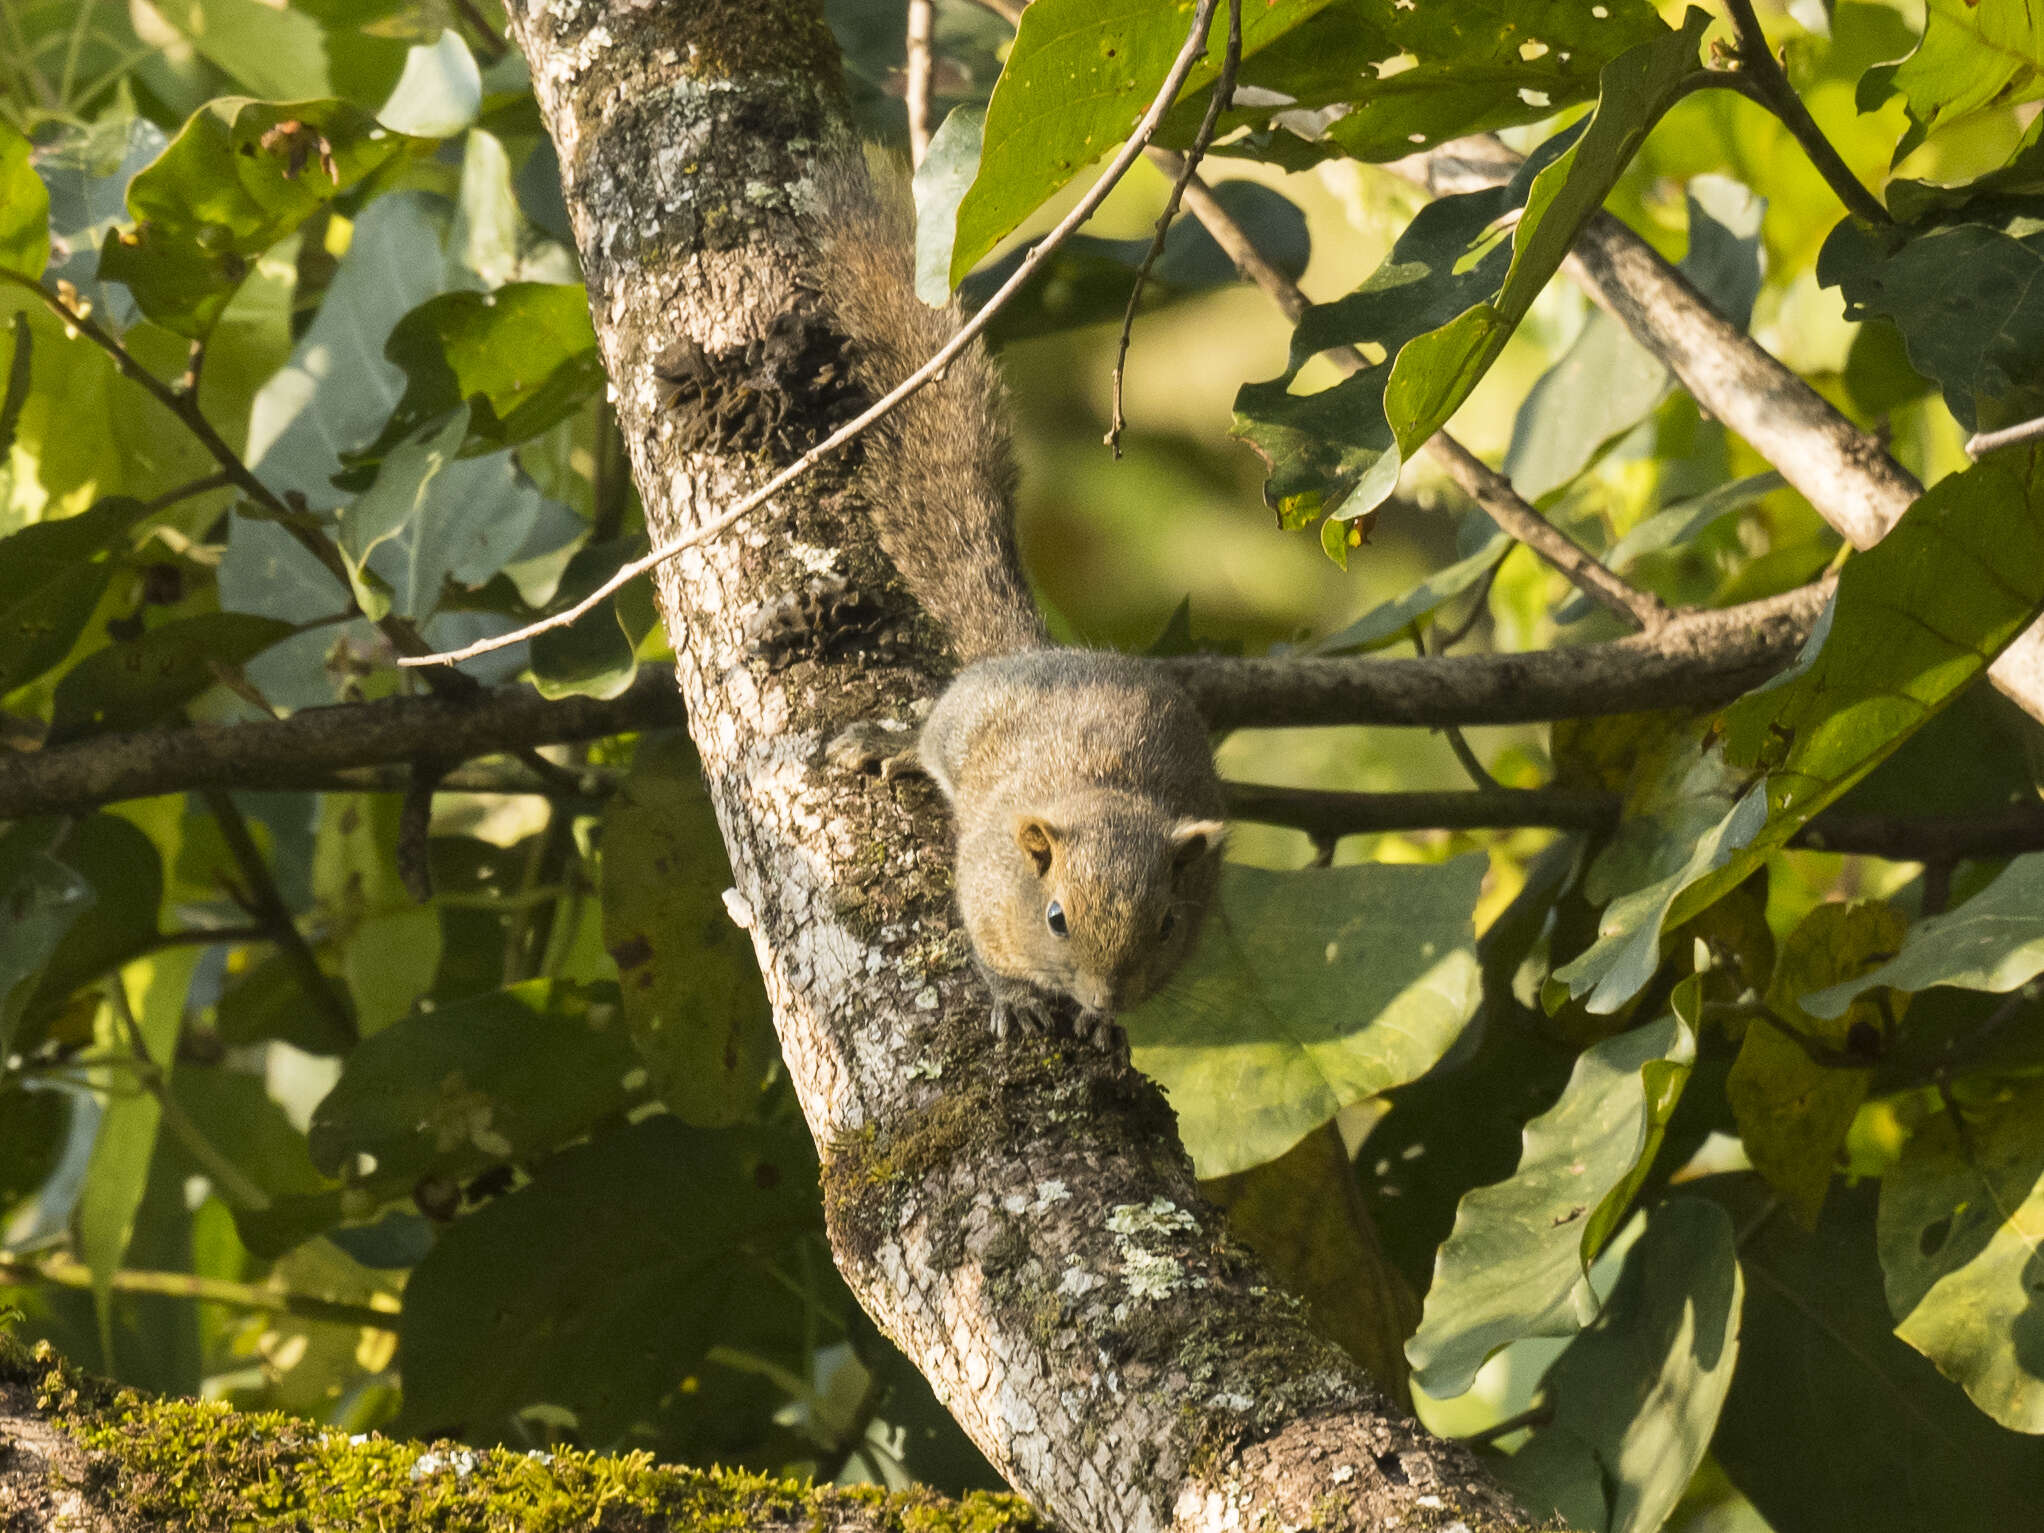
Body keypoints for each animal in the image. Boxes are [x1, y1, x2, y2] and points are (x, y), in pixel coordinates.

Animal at [805, 153, 1218, 1046]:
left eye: (1169, 924)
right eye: (1056, 917)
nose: (1107, 998)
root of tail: (1032, 652)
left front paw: (1099, 1025)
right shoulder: (985, 882)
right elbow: (987, 949)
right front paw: (1016, 996)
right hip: (959, 726)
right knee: (930, 736)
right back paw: (893, 744)